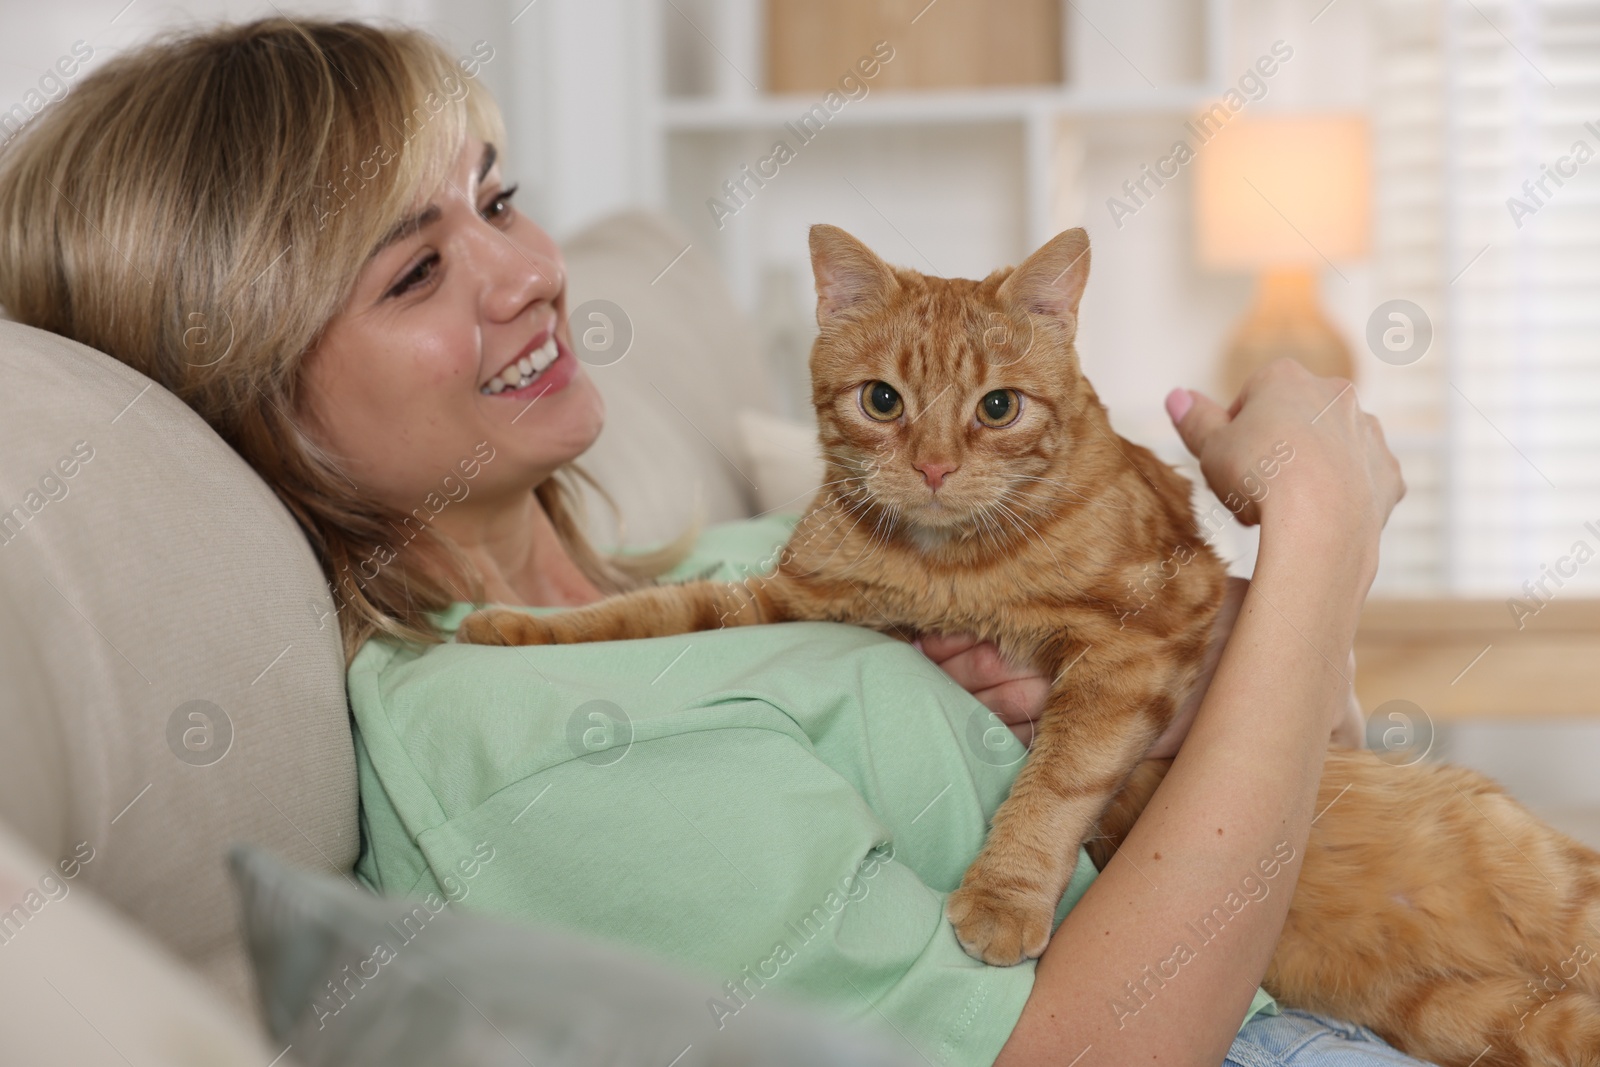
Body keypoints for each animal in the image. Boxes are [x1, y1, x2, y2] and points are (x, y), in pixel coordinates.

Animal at [457, 227, 1600, 1067]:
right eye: (883, 401)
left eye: (997, 407)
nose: (929, 464)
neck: (951, 567)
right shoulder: (795, 596)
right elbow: (654, 611)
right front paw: (511, 625)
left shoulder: (1148, 629)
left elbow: (1055, 780)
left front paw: (1004, 896)